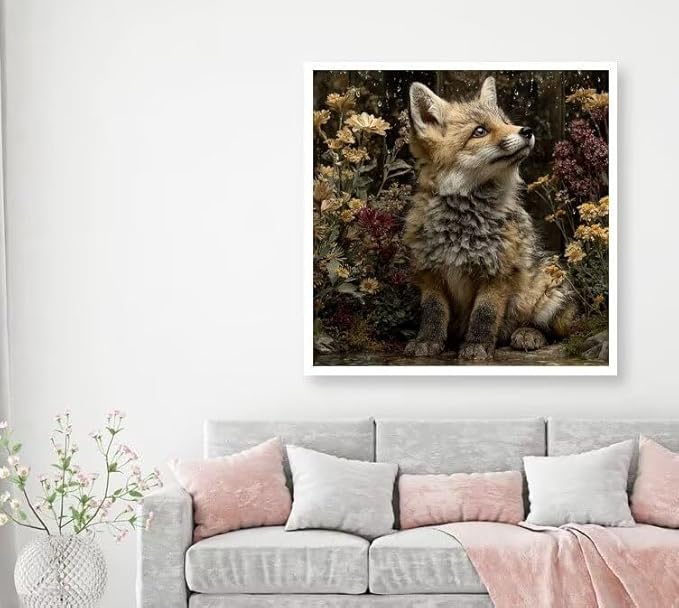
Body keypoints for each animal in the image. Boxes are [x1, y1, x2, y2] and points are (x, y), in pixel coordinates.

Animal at [404, 76, 575, 360]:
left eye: (505, 121)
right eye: (480, 131)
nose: (527, 130)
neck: (462, 227)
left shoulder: (498, 273)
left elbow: (484, 314)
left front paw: (477, 345)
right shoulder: (429, 273)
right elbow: (433, 313)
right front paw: (427, 341)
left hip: (547, 294)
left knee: (551, 331)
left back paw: (528, 334)